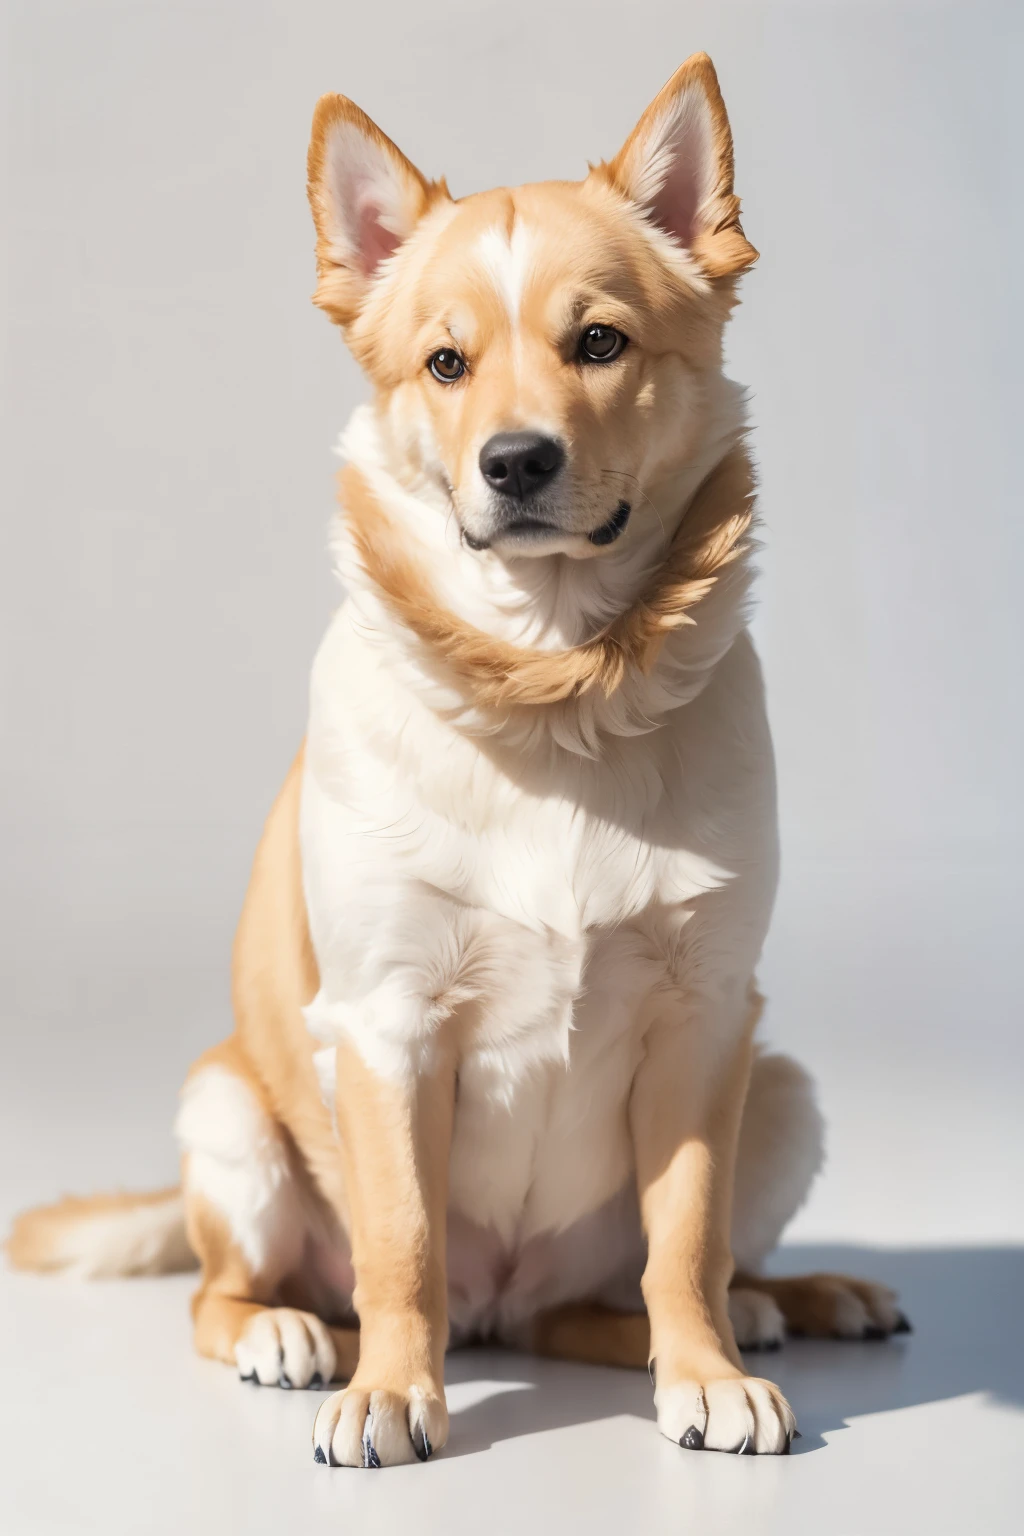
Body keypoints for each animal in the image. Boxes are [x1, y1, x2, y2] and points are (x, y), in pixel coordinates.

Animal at [8, 51, 908, 1462]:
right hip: (230, 1118)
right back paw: (290, 1332)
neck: (553, 690)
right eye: (444, 363)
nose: (517, 459)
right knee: (227, 1288)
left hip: (780, 1088)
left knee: (634, 1291)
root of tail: (506, 1311)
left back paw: (777, 1304)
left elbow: (685, 1241)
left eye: (599, 342)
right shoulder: (387, 1028)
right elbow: (404, 1244)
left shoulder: (706, 1019)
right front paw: (391, 1390)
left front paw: (703, 1373)